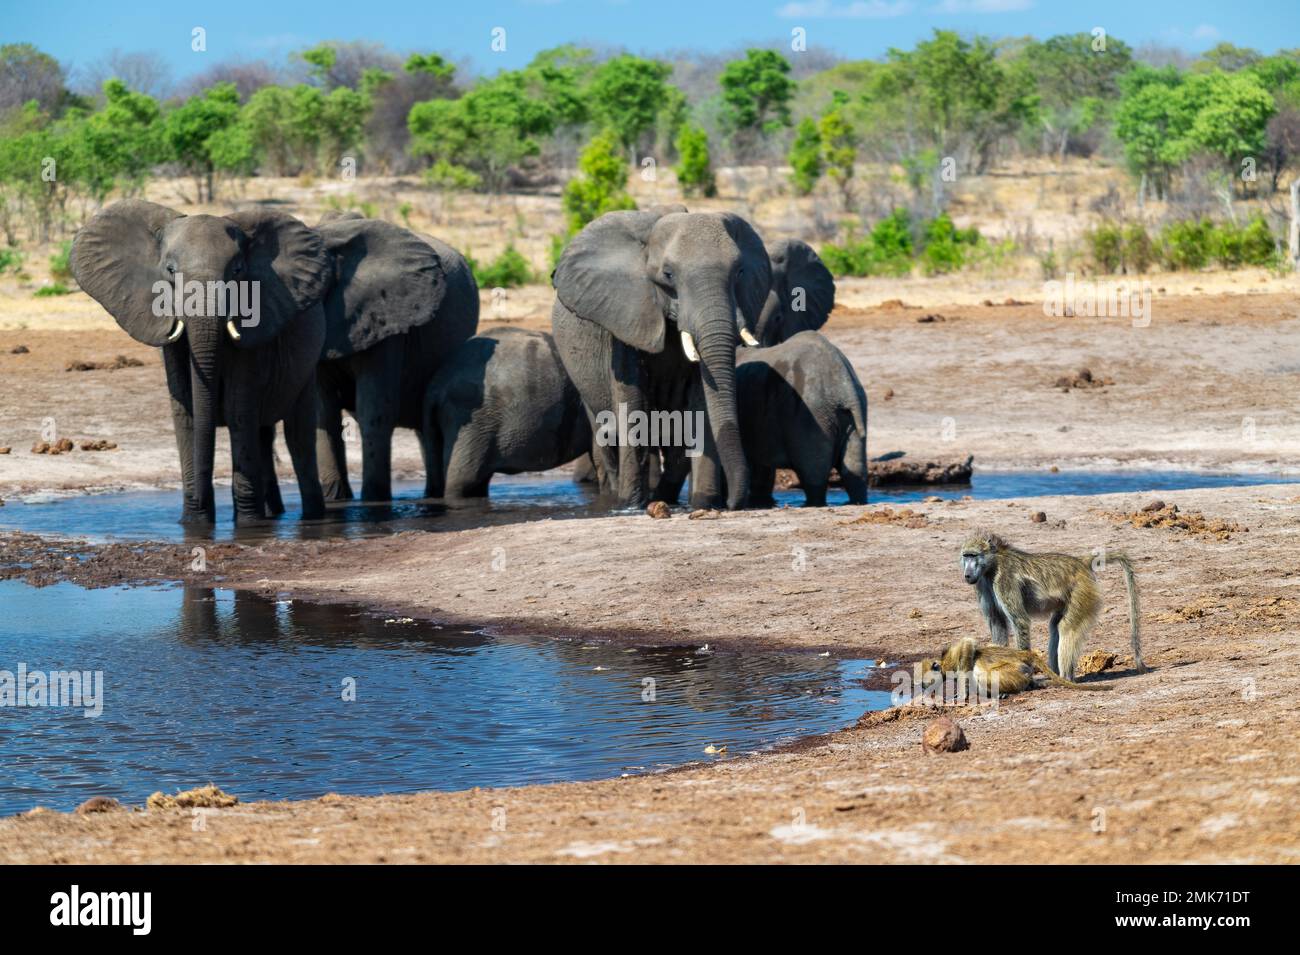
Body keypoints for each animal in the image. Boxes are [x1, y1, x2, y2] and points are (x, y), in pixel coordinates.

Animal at [69, 200, 335, 522]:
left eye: (238, 270)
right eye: (170, 270)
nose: (199, 501)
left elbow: (237, 409)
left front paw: (245, 525)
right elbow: (187, 414)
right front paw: (195, 523)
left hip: (307, 365)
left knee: (297, 436)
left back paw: (309, 518)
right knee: (263, 435)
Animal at [312, 214, 480, 501]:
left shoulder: (388, 320)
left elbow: (375, 407)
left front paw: (373, 502)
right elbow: (324, 412)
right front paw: (336, 501)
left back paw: (433, 496)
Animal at [551, 206, 769, 511]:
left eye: (739, 272)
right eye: (668, 274)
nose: (734, 503)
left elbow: (701, 401)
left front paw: (703, 503)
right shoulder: (626, 319)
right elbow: (632, 403)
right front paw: (630, 506)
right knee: (605, 434)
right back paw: (615, 497)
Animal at [738, 328, 868, 509]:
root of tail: (845, 386)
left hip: (811, 415)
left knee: (813, 476)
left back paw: (811, 504)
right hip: (852, 413)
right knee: (855, 473)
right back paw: (857, 502)